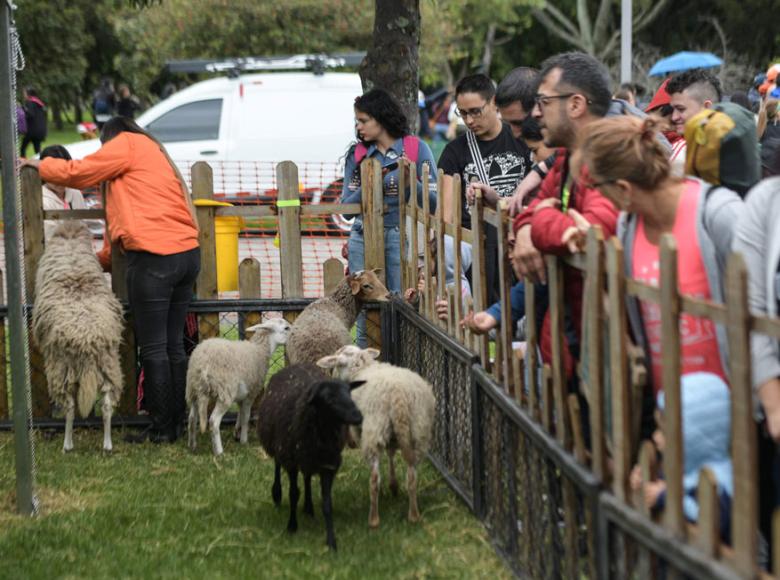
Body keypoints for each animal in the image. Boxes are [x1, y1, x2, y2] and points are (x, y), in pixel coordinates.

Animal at [31, 222, 124, 454]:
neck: (70, 241)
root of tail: (87, 340)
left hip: (61, 368)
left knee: (70, 406)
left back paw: (67, 444)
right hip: (109, 365)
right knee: (107, 404)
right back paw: (107, 445)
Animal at [187, 318, 292, 458]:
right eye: (286, 328)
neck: (259, 350)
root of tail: (202, 365)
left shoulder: (240, 396)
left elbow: (240, 414)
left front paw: (236, 433)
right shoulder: (250, 393)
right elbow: (246, 417)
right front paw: (243, 440)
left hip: (193, 391)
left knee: (192, 419)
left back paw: (192, 446)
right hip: (225, 392)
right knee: (213, 421)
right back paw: (219, 452)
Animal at [258, 364, 364, 552]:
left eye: (349, 393)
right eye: (329, 398)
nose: (358, 416)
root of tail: (295, 365)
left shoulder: (329, 465)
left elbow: (327, 504)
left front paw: (331, 541)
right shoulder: (291, 462)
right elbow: (293, 494)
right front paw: (292, 527)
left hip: (308, 457)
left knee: (307, 477)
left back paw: (308, 507)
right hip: (280, 446)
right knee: (277, 465)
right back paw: (277, 494)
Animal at [318, 346, 438, 528]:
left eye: (337, 362)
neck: (363, 368)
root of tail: (398, 395)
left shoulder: (359, 430)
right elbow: (391, 454)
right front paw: (393, 485)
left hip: (375, 429)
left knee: (374, 478)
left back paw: (374, 518)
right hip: (419, 431)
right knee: (412, 476)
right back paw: (413, 515)